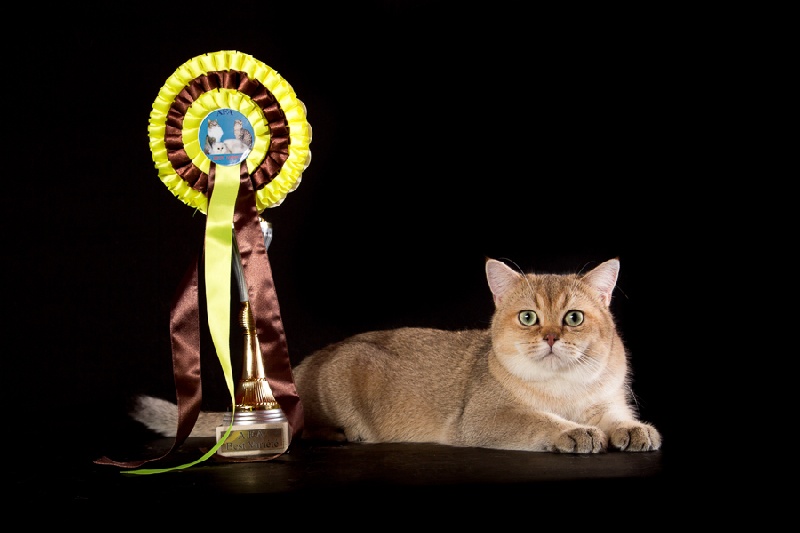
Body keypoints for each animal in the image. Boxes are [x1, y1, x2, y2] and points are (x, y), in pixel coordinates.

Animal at [131, 258, 660, 454]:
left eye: (573, 318)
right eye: (529, 318)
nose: (550, 337)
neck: (563, 389)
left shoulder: (607, 398)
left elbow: (615, 417)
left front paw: (633, 430)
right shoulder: (487, 417)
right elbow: (541, 421)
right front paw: (573, 432)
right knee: (303, 426)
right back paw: (339, 433)